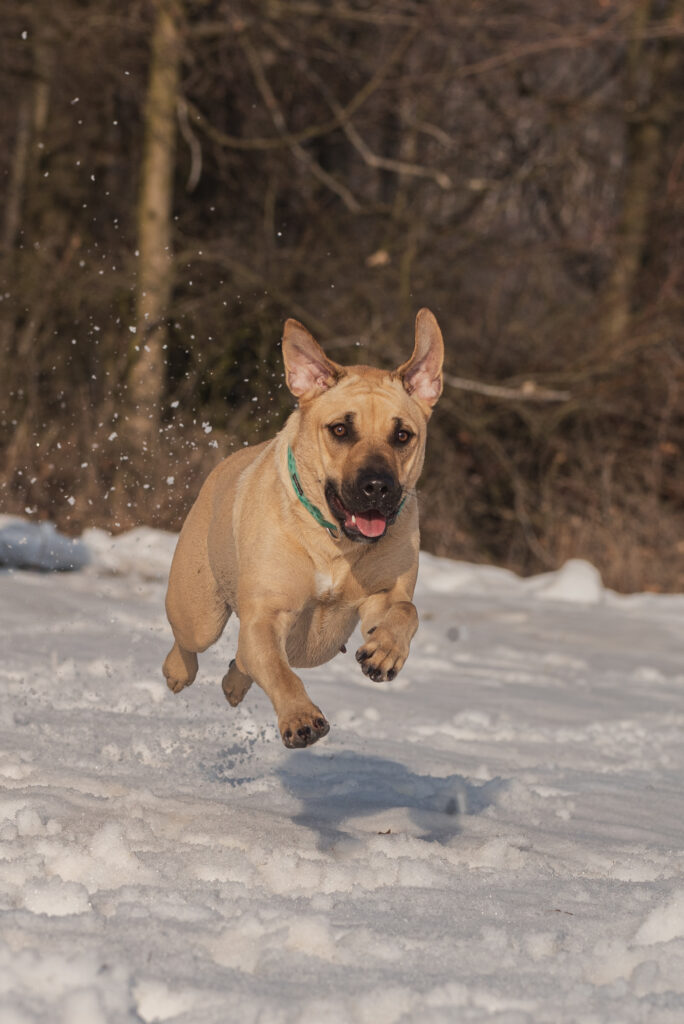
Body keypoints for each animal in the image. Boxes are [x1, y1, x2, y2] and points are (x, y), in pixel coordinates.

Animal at [160, 307, 444, 749]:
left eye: (402, 435)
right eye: (341, 429)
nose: (378, 486)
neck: (333, 541)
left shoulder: (378, 596)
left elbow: (405, 609)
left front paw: (385, 651)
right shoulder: (266, 615)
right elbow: (280, 672)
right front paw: (300, 717)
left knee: (243, 660)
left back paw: (233, 685)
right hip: (198, 610)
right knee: (193, 642)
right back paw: (177, 672)